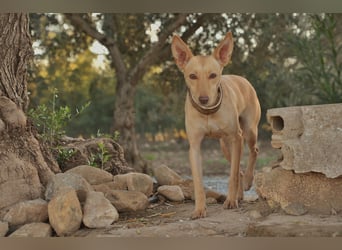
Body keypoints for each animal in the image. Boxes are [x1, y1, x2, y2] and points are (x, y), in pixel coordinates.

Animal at [172, 31, 260, 219]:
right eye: (192, 76)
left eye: (213, 75)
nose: (203, 99)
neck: (208, 113)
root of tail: (242, 79)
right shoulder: (195, 146)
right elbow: (198, 182)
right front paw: (199, 209)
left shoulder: (236, 138)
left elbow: (232, 175)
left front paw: (230, 201)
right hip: (225, 146)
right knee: (238, 168)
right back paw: (240, 193)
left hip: (248, 133)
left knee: (253, 153)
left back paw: (248, 181)